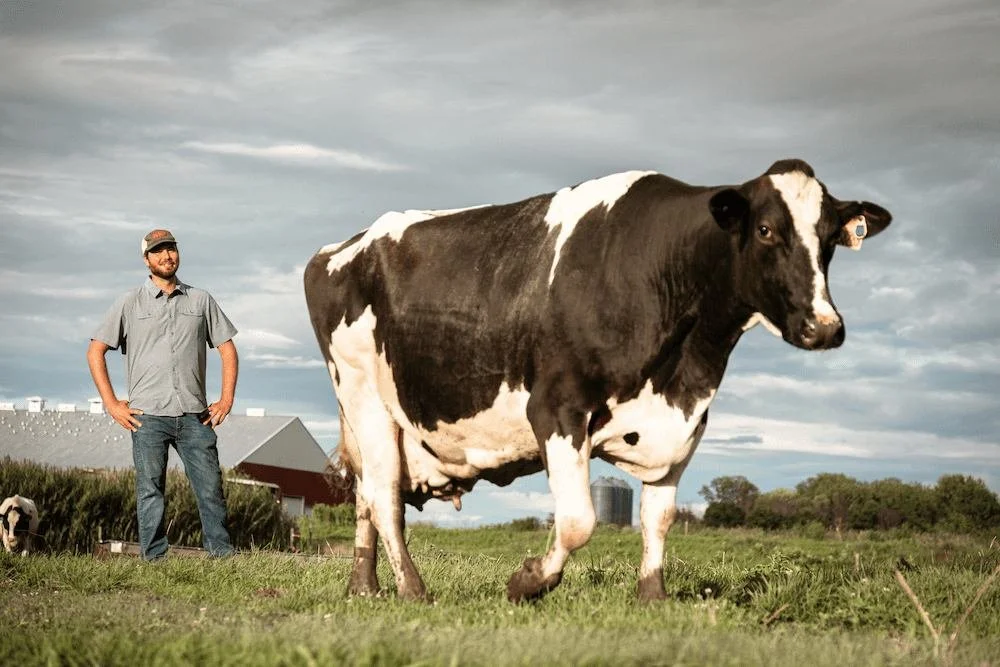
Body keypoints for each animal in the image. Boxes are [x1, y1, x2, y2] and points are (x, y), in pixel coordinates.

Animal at [303, 159, 891, 602]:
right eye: (766, 229)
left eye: (830, 239)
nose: (825, 327)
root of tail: (340, 248)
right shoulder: (556, 408)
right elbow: (578, 520)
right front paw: (527, 582)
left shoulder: (685, 424)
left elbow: (659, 518)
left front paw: (653, 598)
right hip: (364, 395)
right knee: (384, 496)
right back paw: (413, 590)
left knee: (367, 495)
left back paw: (364, 586)